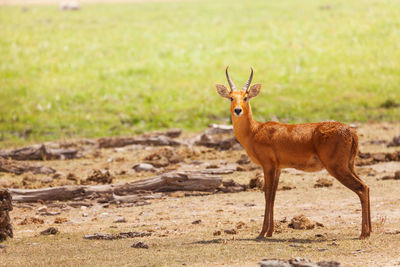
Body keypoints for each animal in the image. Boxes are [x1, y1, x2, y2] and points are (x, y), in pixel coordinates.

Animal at [216, 67, 372, 241]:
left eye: (245, 97)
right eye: (231, 97)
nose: (238, 110)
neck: (254, 131)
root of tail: (351, 131)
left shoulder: (268, 166)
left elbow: (267, 195)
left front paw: (262, 233)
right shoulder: (278, 168)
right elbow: (273, 196)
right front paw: (270, 232)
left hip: (337, 167)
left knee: (362, 188)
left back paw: (363, 234)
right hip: (349, 166)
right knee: (367, 187)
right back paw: (369, 231)